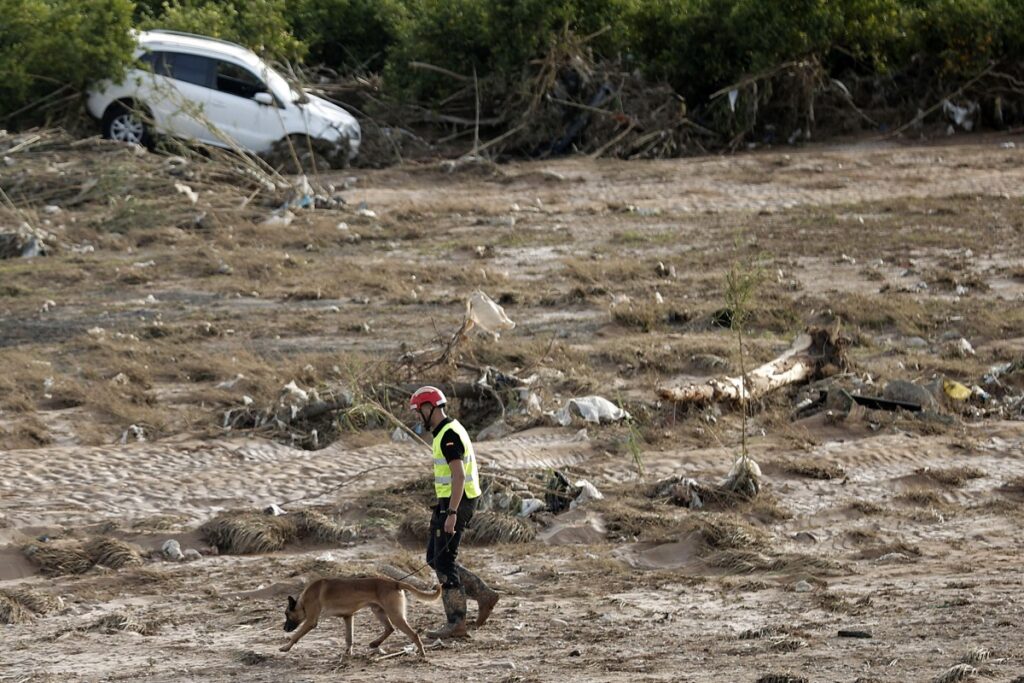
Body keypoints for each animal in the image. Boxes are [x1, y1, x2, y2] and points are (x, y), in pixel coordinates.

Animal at [280, 577, 440, 655]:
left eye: (287, 614)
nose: (284, 629)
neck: (303, 601)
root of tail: (395, 582)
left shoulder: (311, 622)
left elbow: (296, 636)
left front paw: (286, 647)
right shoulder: (348, 617)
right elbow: (349, 639)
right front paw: (348, 653)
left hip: (395, 616)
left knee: (413, 634)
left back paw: (422, 654)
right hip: (379, 612)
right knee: (390, 629)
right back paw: (375, 643)